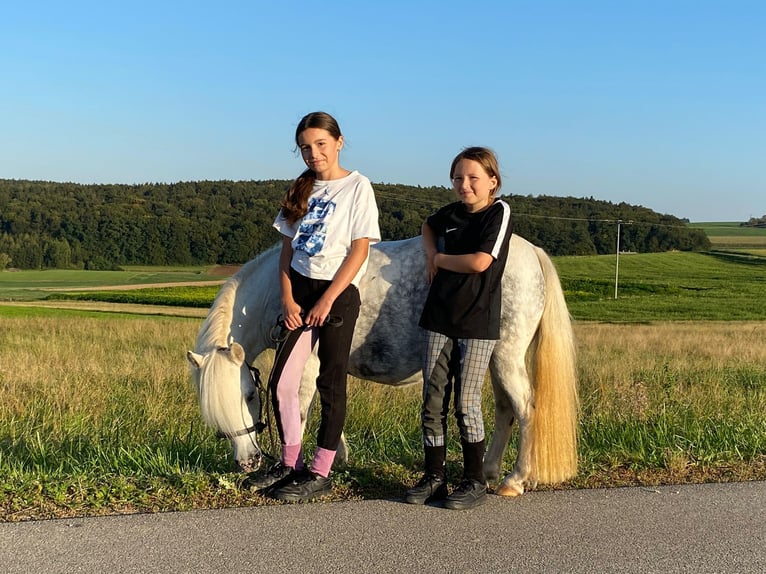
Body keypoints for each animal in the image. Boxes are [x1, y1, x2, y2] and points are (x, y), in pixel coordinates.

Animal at [189, 234, 580, 496]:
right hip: (495, 357)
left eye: (249, 395)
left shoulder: (306, 367)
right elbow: (327, 405)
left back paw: (515, 480)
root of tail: (532, 252)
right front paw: (338, 458)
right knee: (504, 410)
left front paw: (298, 471)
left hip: (506, 356)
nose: (247, 462)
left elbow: (299, 412)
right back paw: (489, 470)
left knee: (526, 409)